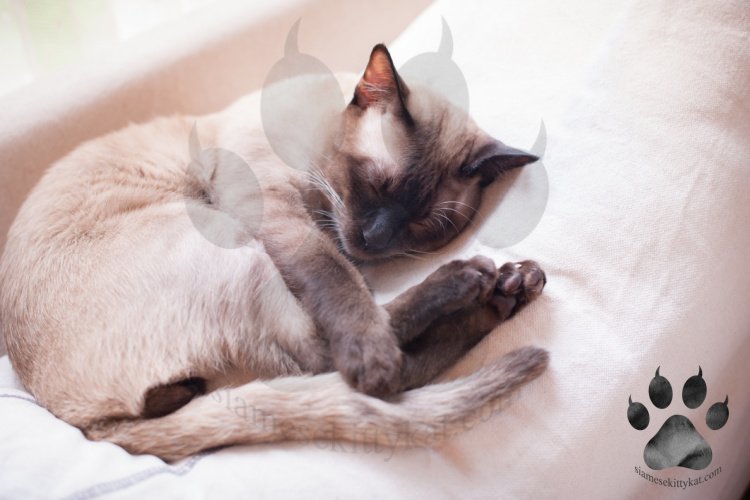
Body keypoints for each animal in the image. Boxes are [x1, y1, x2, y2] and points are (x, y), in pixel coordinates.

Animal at [0, 44, 552, 460]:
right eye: (376, 184)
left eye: (421, 223)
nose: (374, 240)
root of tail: (87, 427)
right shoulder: (280, 215)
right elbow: (338, 282)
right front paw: (373, 355)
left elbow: (349, 284)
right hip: (236, 248)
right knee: (336, 362)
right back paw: (478, 286)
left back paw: (511, 286)